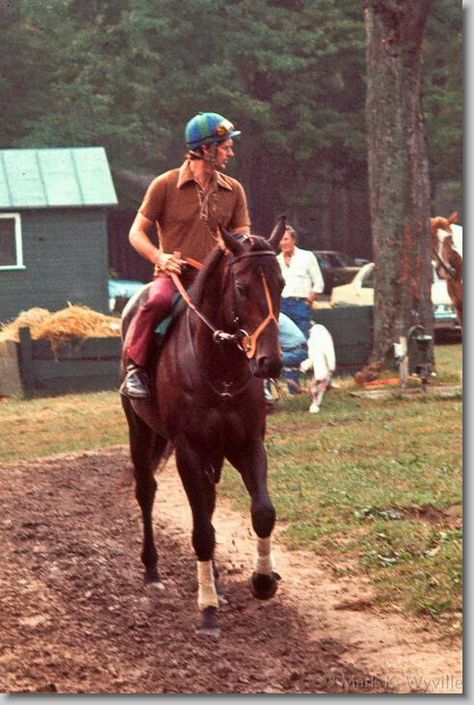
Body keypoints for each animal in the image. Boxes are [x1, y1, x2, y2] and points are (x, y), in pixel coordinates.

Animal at [120, 217, 286, 636]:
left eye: (281, 283)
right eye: (242, 287)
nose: (271, 362)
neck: (219, 368)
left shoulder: (247, 444)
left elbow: (262, 512)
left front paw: (262, 581)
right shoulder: (189, 450)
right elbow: (201, 531)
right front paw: (207, 609)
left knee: (208, 504)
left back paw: (219, 584)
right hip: (140, 431)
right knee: (146, 492)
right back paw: (152, 572)